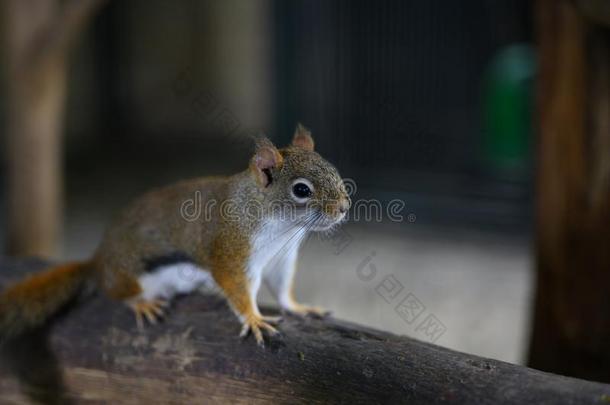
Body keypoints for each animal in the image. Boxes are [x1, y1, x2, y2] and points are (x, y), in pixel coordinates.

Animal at [0, 124, 350, 346]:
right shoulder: (231, 251)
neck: (279, 226)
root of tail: (98, 260)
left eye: (333, 169)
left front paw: (300, 308)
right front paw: (253, 319)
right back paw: (141, 304)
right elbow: (238, 289)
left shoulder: (281, 259)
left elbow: (282, 289)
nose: (344, 207)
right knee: (115, 292)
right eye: (301, 190)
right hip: (131, 275)